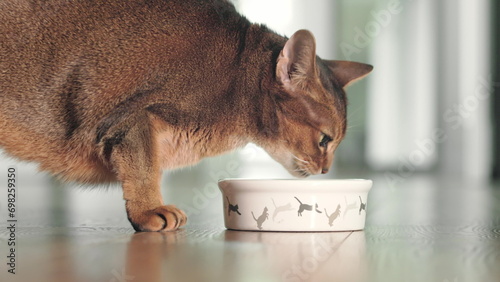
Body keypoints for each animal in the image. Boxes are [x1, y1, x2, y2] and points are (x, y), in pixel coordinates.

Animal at [0, 0, 372, 231]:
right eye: (324, 140)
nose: (326, 170)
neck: (236, 74)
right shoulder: (130, 117)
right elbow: (145, 168)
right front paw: (148, 211)